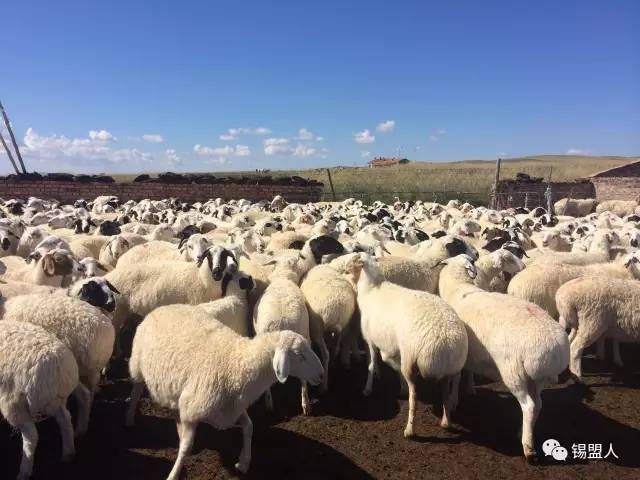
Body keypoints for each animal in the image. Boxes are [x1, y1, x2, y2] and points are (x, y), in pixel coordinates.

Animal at [0, 320, 78, 478]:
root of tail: (59, 369)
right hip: (56, 400)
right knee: (65, 420)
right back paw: (68, 453)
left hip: (14, 402)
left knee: (31, 436)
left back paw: (24, 471)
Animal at [127, 312, 322, 476]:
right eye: (299, 354)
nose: (321, 374)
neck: (237, 363)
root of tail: (160, 308)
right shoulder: (192, 410)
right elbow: (185, 448)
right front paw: (174, 474)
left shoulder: (232, 406)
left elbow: (249, 426)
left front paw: (243, 463)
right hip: (137, 366)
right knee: (136, 392)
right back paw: (129, 418)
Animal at [440, 255, 568, 462]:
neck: (458, 288)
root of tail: (554, 351)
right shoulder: (470, 354)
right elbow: (468, 372)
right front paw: (469, 389)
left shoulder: (458, 354)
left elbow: (457, 377)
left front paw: (452, 401)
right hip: (536, 378)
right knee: (538, 405)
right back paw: (523, 432)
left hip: (514, 374)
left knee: (529, 406)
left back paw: (528, 448)